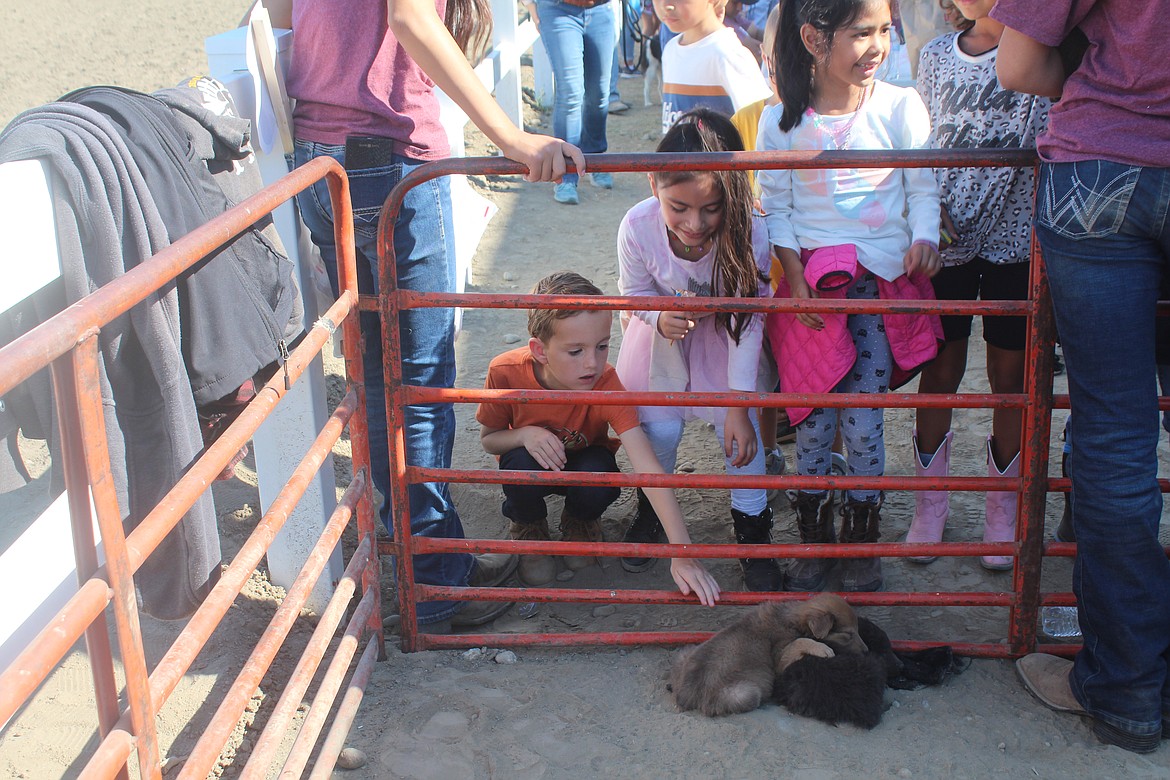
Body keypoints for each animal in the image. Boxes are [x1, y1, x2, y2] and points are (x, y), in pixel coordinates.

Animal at [669, 594, 870, 715]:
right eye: (848, 634)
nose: (867, 651)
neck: (793, 618)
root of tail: (685, 695)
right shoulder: (780, 659)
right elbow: (800, 641)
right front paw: (823, 648)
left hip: (685, 652)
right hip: (747, 693)